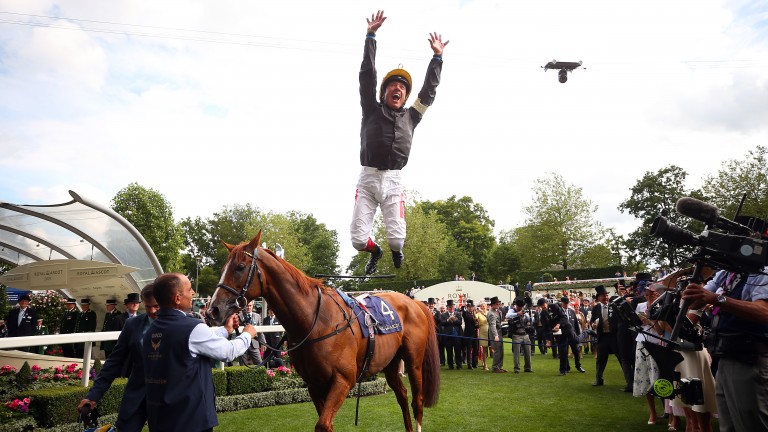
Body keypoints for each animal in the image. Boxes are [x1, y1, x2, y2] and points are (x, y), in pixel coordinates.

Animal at [207, 233, 440, 432]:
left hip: (414, 361)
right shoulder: (314, 383)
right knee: (402, 396)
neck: (315, 322)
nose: (213, 310)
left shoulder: (343, 380)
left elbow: (323, 425)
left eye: (240, 267)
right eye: (224, 268)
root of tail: (414, 302)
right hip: (390, 363)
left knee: (417, 401)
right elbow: (326, 424)